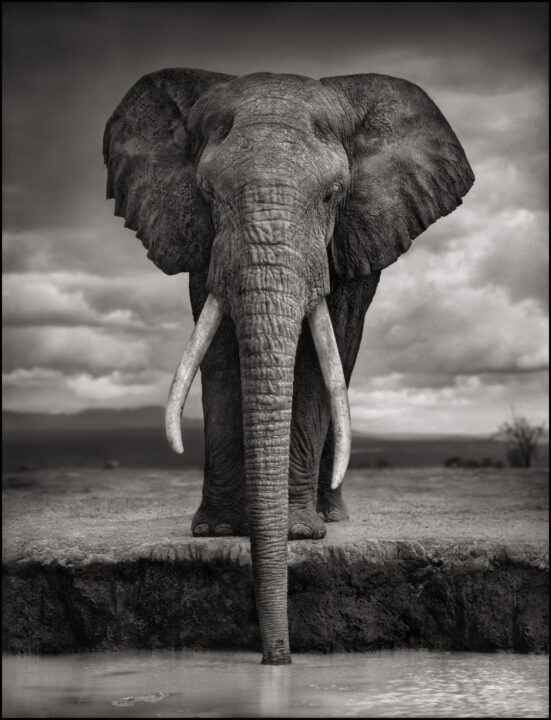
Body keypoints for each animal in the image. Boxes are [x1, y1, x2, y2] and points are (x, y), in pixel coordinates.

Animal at [104, 67, 474, 664]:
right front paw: (219, 531)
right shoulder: (203, 242)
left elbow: (319, 357)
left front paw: (299, 534)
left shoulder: (346, 238)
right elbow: (221, 353)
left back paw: (331, 517)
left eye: (333, 194)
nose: (277, 657)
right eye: (207, 193)